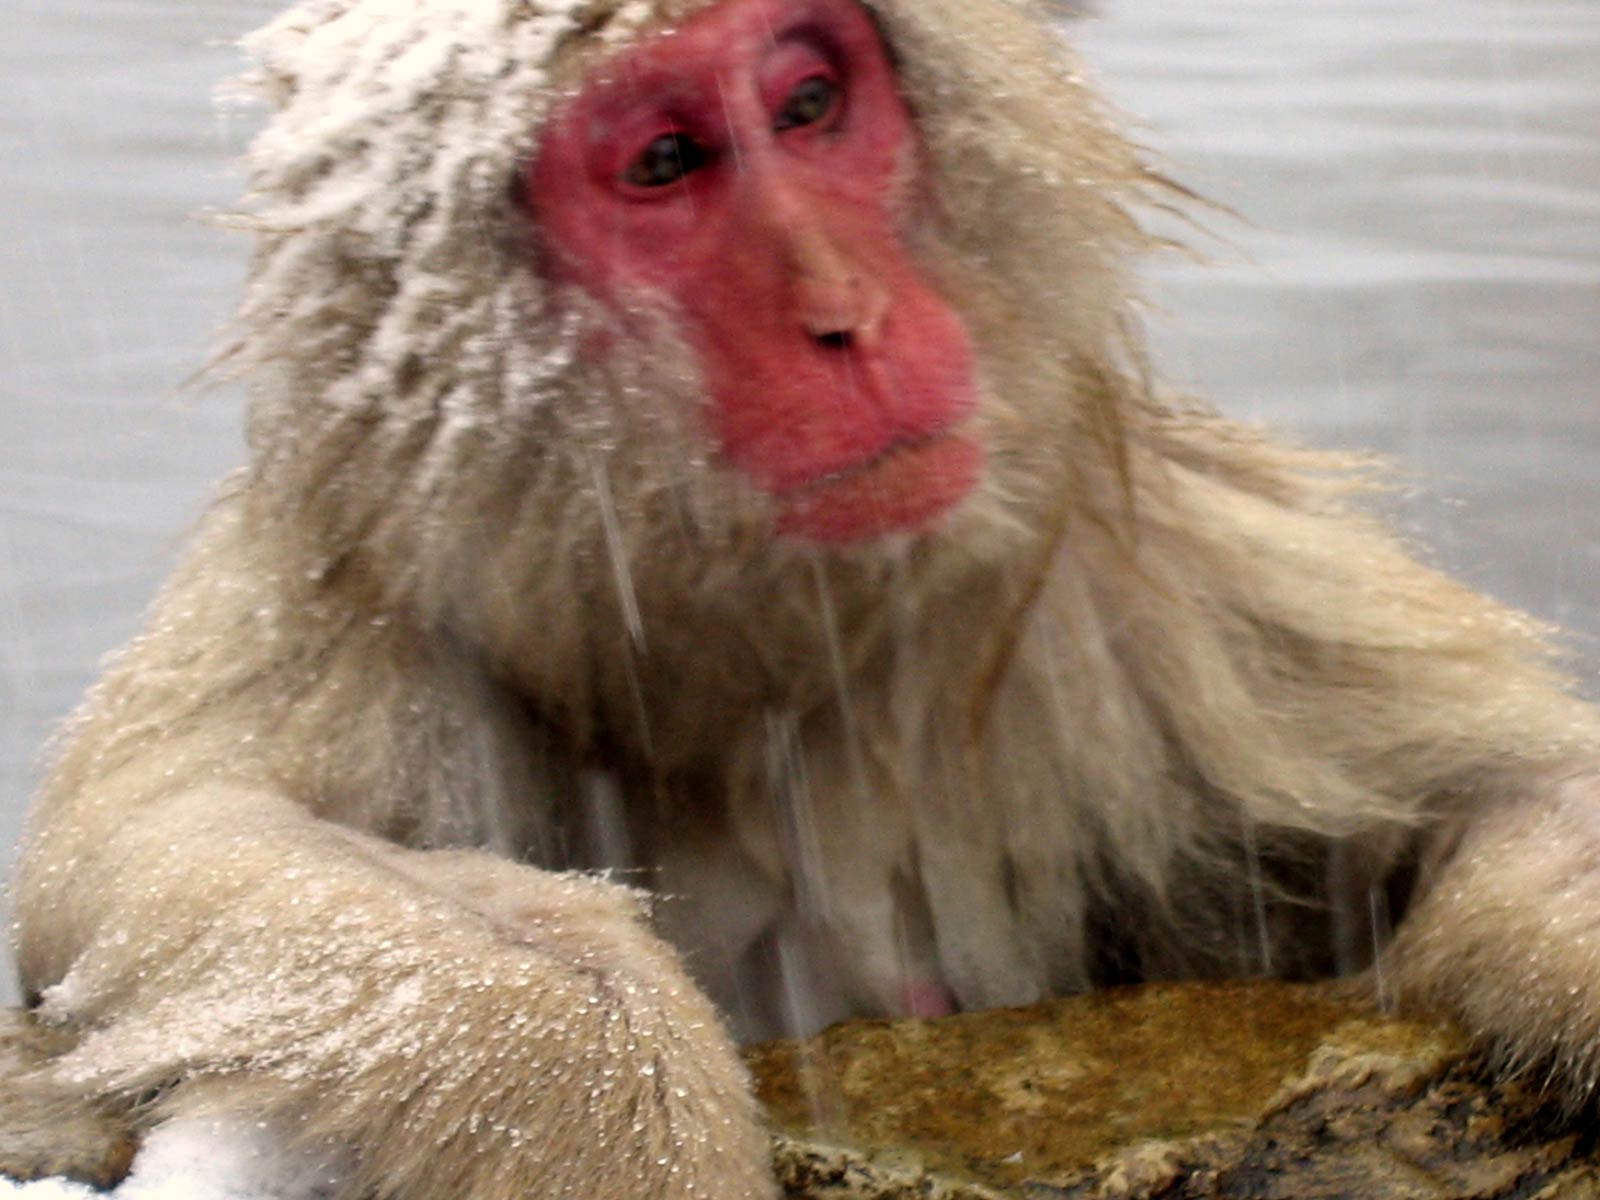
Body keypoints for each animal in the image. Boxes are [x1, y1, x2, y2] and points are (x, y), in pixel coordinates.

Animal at [11, 0, 1600, 1196]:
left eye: (813, 104)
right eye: (665, 160)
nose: (851, 314)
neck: (744, 675)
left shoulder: (1128, 580)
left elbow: (1499, 794)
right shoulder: (346, 602)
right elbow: (164, 845)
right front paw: (621, 1116)